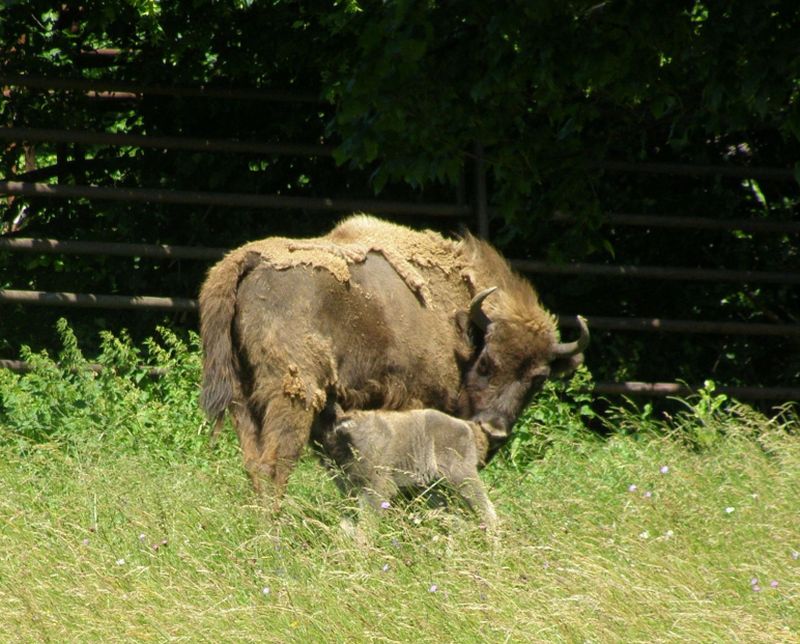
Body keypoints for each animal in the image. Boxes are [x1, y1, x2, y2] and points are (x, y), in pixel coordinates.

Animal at [200, 216, 588, 504]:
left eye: (538, 379)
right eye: (486, 363)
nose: (494, 430)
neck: (462, 324)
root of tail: (246, 260)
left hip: (242, 397)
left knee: (254, 464)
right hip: (294, 394)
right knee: (276, 464)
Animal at [320, 406, 500, 532]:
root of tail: (467, 426)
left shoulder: (376, 487)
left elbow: (368, 521)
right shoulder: (349, 488)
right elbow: (349, 518)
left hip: (462, 478)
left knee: (486, 509)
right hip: (432, 488)